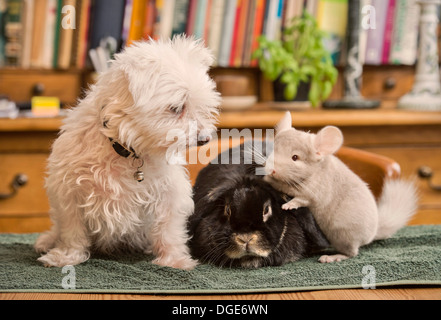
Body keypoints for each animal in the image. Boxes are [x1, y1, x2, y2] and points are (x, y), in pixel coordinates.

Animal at [34, 36, 220, 268]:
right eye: (177, 108)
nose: (205, 139)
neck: (127, 148)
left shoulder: (170, 192)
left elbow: (169, 229)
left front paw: (174, 259)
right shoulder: (69, 190)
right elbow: (72, 230)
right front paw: (66, 256)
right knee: (58, 228)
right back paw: (47, 241)